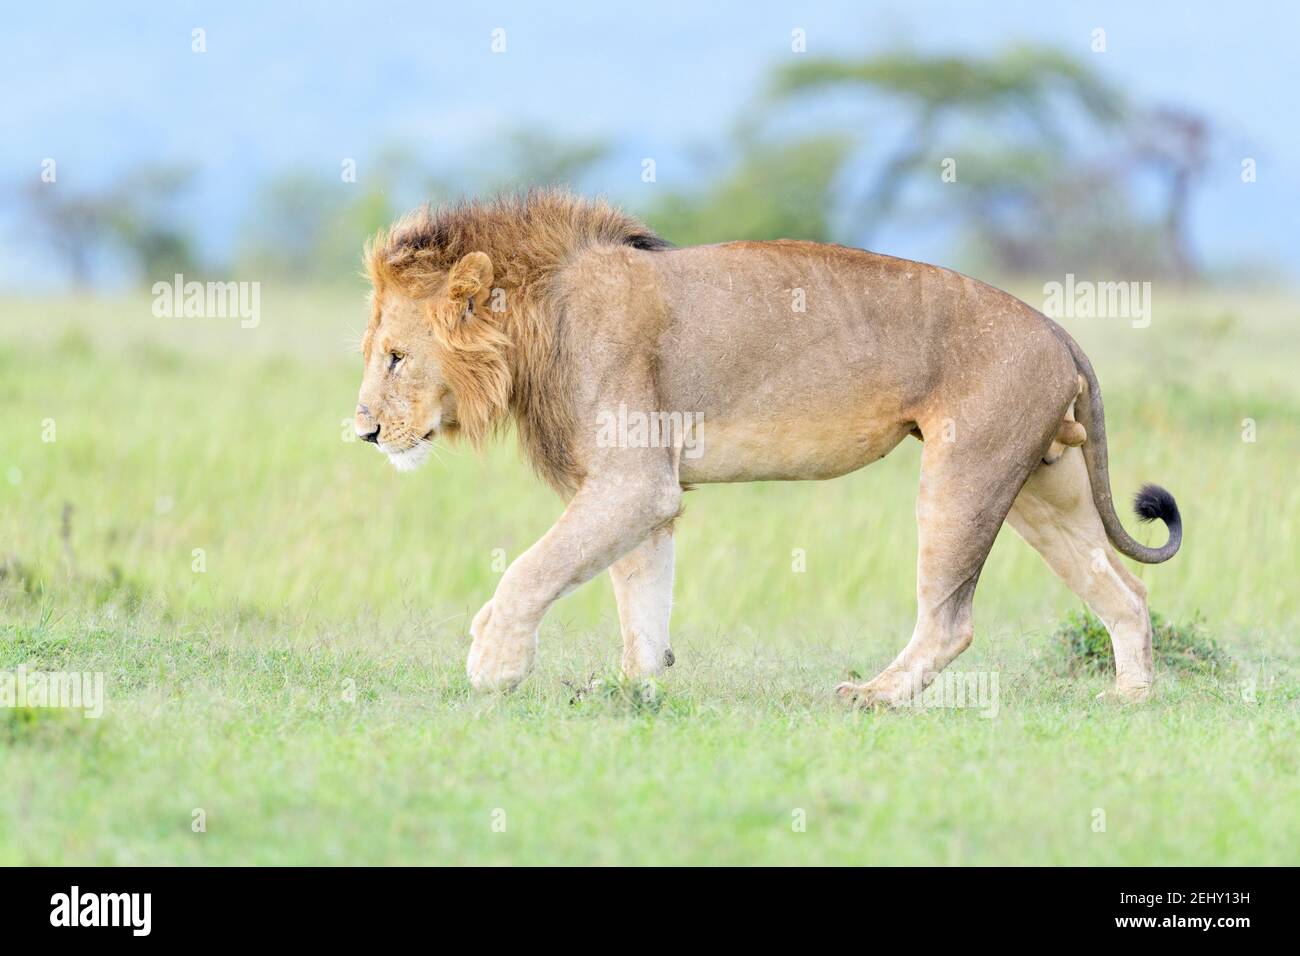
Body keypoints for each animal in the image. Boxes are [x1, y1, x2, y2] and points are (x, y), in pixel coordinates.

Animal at [354, 189, 1182, 706]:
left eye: (396, 357)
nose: (363, 432)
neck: (535, 321)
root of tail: (1061, 332)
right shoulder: (642, 494)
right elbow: (640, 603)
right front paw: (630, 691)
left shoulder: (632, 478)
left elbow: (532, 570)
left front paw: (493, 664)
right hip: (1044, 486)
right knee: (1127, 593)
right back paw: (1129, 698)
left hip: (965, 471)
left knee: (951, 619)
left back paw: (875, 697)